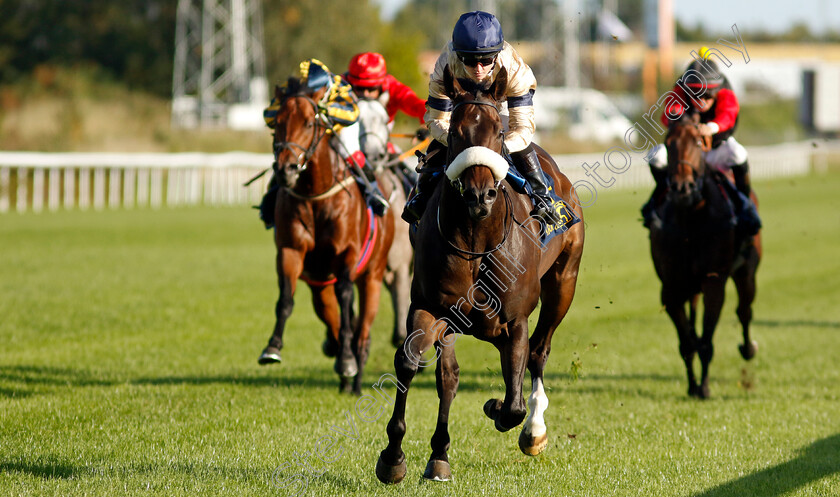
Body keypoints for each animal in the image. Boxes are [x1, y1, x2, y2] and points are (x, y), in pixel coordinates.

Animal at [260, 79, 398, 394]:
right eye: (277, 123)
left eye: (310, 123)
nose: (286, 169)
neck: (315, 195)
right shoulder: (291, 250)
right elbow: (285, 298)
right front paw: (272, 348)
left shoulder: (347, 253)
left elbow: (346, 297)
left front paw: (347, 360)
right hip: (319, 287)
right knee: (334, 318)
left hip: (373, 276)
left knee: (363, 332)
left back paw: (355, 376)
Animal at [374, 66, 584, 480]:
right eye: (455, 132)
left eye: (498, 133)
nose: (479, 195)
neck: (474, 240)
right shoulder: (430, 307)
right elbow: (410, 363)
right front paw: (393, 456)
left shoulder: (516, 320)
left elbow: (514, 400)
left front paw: (501, 410)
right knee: (449, 377)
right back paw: (439, 455)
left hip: (563, 284)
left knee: (539, 352)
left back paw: (533, 431)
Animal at [648, 110, 760, 398]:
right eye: (669, 144)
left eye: (699, 142)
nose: (682, 188)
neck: (691, 219)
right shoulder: (671, 288)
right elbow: (687, 342)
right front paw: (692, 386)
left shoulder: (713, 281)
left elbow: (707, 341)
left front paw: (705, 388)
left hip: (747, 271)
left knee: (744, 311)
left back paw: (748, 348)